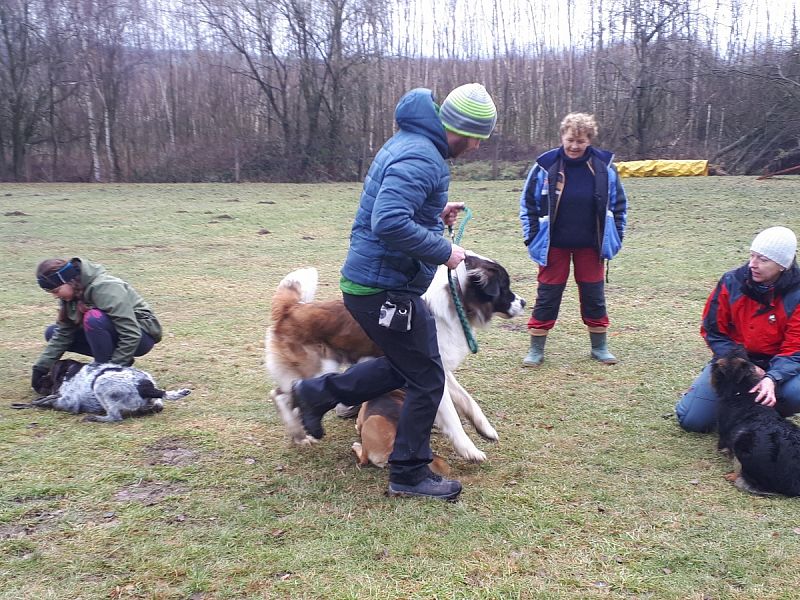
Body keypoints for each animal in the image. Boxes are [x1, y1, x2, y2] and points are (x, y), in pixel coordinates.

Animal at [13, 358, 191, 424]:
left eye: (49, 373)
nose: (36, 384)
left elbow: (48, 401)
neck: (69, 372)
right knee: (158, 404)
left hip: (100, 384)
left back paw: (94, 418)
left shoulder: (69, 402)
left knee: (115, 417)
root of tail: (147, 387)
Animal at [266, 251, 528, 462]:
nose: (524, 302)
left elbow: (467, 400)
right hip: (317, 367)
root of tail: (292, 309)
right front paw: (469, 450)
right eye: (504, 287)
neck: (456, 302)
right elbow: (452, 416)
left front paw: (485, 429)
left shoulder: (441, 368)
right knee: (282, 395)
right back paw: (299, 433)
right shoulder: (431, 372)